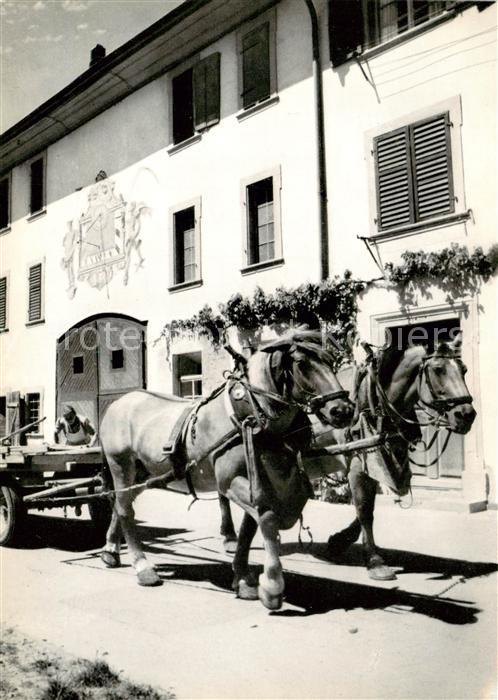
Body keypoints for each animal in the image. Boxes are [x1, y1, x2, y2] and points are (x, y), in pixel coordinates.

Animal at [98, 330, 354, 608]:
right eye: (301, 363)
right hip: (121, 464)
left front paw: (242, 577)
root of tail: (120, 402)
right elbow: (268, 519)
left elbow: (249, 529)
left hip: (145, 473)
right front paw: (272, 586)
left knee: (120, 504)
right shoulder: (230, 482)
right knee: (125, 510)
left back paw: (110, 550)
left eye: (330, 360)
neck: (251, 414)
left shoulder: (259, 482)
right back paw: (142, 566)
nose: (343, 410)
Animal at [219, 336, 474, 584]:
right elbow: (365, 510)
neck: (372, 402)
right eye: (438, 369)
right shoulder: (357, 466)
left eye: (464, 369)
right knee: (223, 490)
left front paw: (339, 541)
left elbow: (366, 509)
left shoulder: (375, 462)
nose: (466, 415)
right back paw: (230, 537)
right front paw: (375, 561)